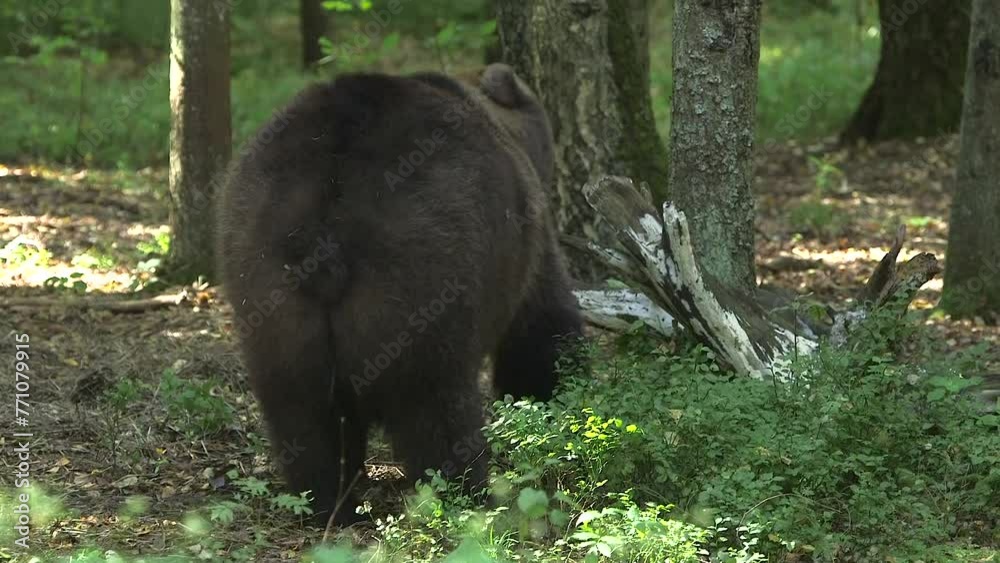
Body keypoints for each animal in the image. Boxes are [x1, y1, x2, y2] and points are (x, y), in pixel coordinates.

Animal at [216, 63, 582, 525]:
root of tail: (324, 226)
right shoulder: (524, 239)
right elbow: (541, 327)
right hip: (420, 277)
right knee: (433, 405)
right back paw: (465, 494)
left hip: (266, 284)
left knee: (302, 411)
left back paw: (328, 502)